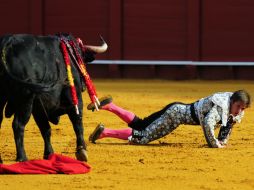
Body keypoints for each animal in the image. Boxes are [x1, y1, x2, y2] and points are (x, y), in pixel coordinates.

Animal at [0, 33, 106, 162]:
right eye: (80, 56)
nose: (84, 87)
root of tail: (7, 42)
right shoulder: (74, 97)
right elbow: (77, 123)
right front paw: (82, 150)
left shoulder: (39, 106)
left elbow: (45, 129)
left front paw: (49, 154)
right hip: (26, 98)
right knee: (18, 125)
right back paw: (22, 157)